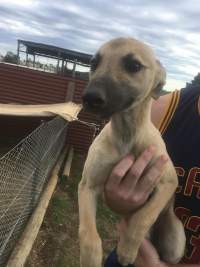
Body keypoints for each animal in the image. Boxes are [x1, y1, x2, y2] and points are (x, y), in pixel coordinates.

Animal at [78, 37, 186, 267]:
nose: (90, 97)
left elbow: (143, 217)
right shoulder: (87, 186)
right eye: (93, 63)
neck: (127, 135)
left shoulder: (168, 182)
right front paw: (91, 258)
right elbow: (88, 234)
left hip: (175, 243)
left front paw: (127, 249)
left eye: (134, 65)